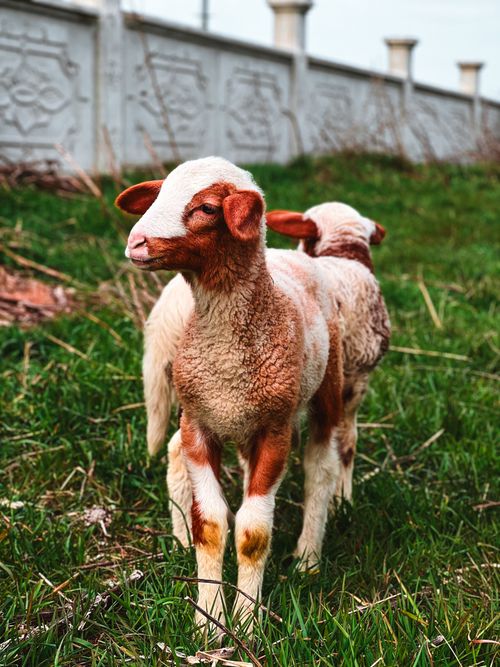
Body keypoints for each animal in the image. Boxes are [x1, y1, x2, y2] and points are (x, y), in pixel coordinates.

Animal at [115, 157, 390, 631]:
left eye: (207, 207)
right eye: (158, 194)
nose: (136, 242)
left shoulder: (274, 431)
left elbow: (253, 531)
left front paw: (245, 620)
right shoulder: (200, 423)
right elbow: (211, 525)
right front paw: (208, 620)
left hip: (328, 390)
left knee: (321, 467)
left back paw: (308, 558)